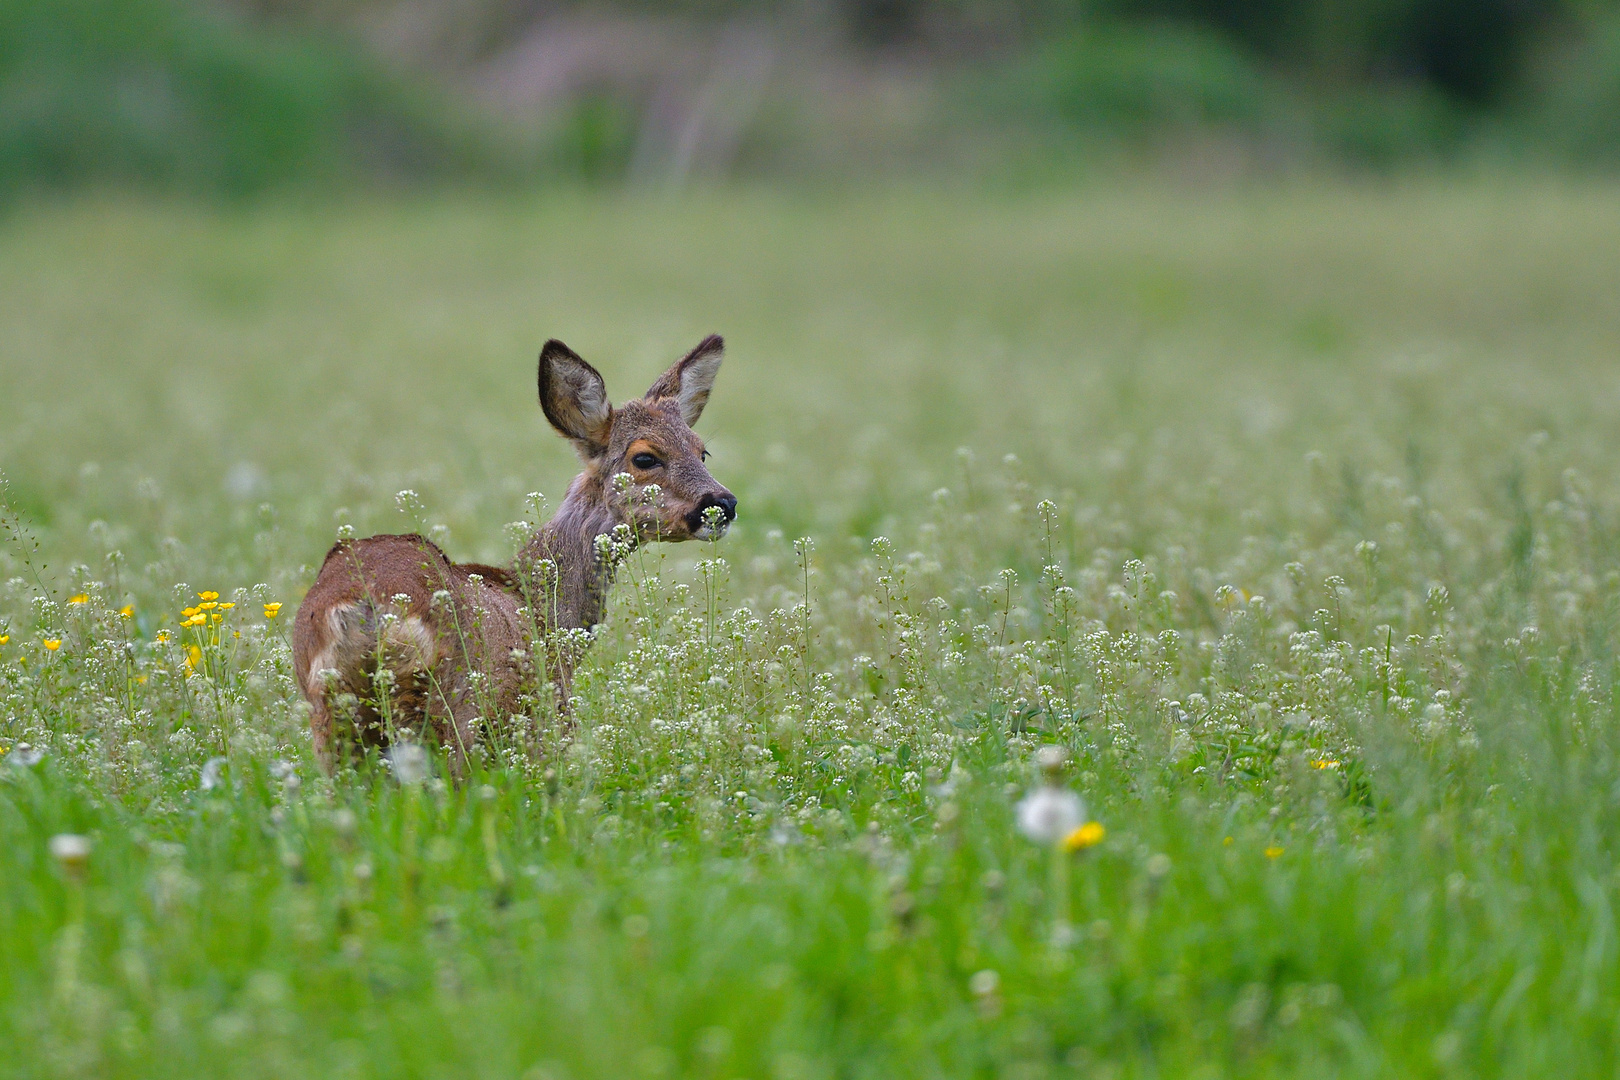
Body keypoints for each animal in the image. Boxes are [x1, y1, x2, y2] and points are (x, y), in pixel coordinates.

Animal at [294, 333, 738, 773]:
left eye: (702, 451)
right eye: (645, 457)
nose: (722, 503)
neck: (544, 609)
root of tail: (363, 611)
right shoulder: (549, 711)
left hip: (334, 720)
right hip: (453, 713)